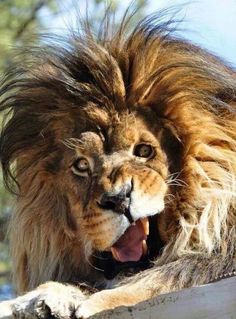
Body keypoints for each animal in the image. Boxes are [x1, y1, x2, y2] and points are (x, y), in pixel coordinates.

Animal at [0, 8, 235, 318]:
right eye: (81, 165)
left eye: (144, 150)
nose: (119, 199)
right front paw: (36, 300)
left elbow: (164, 278)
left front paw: (91, 304)